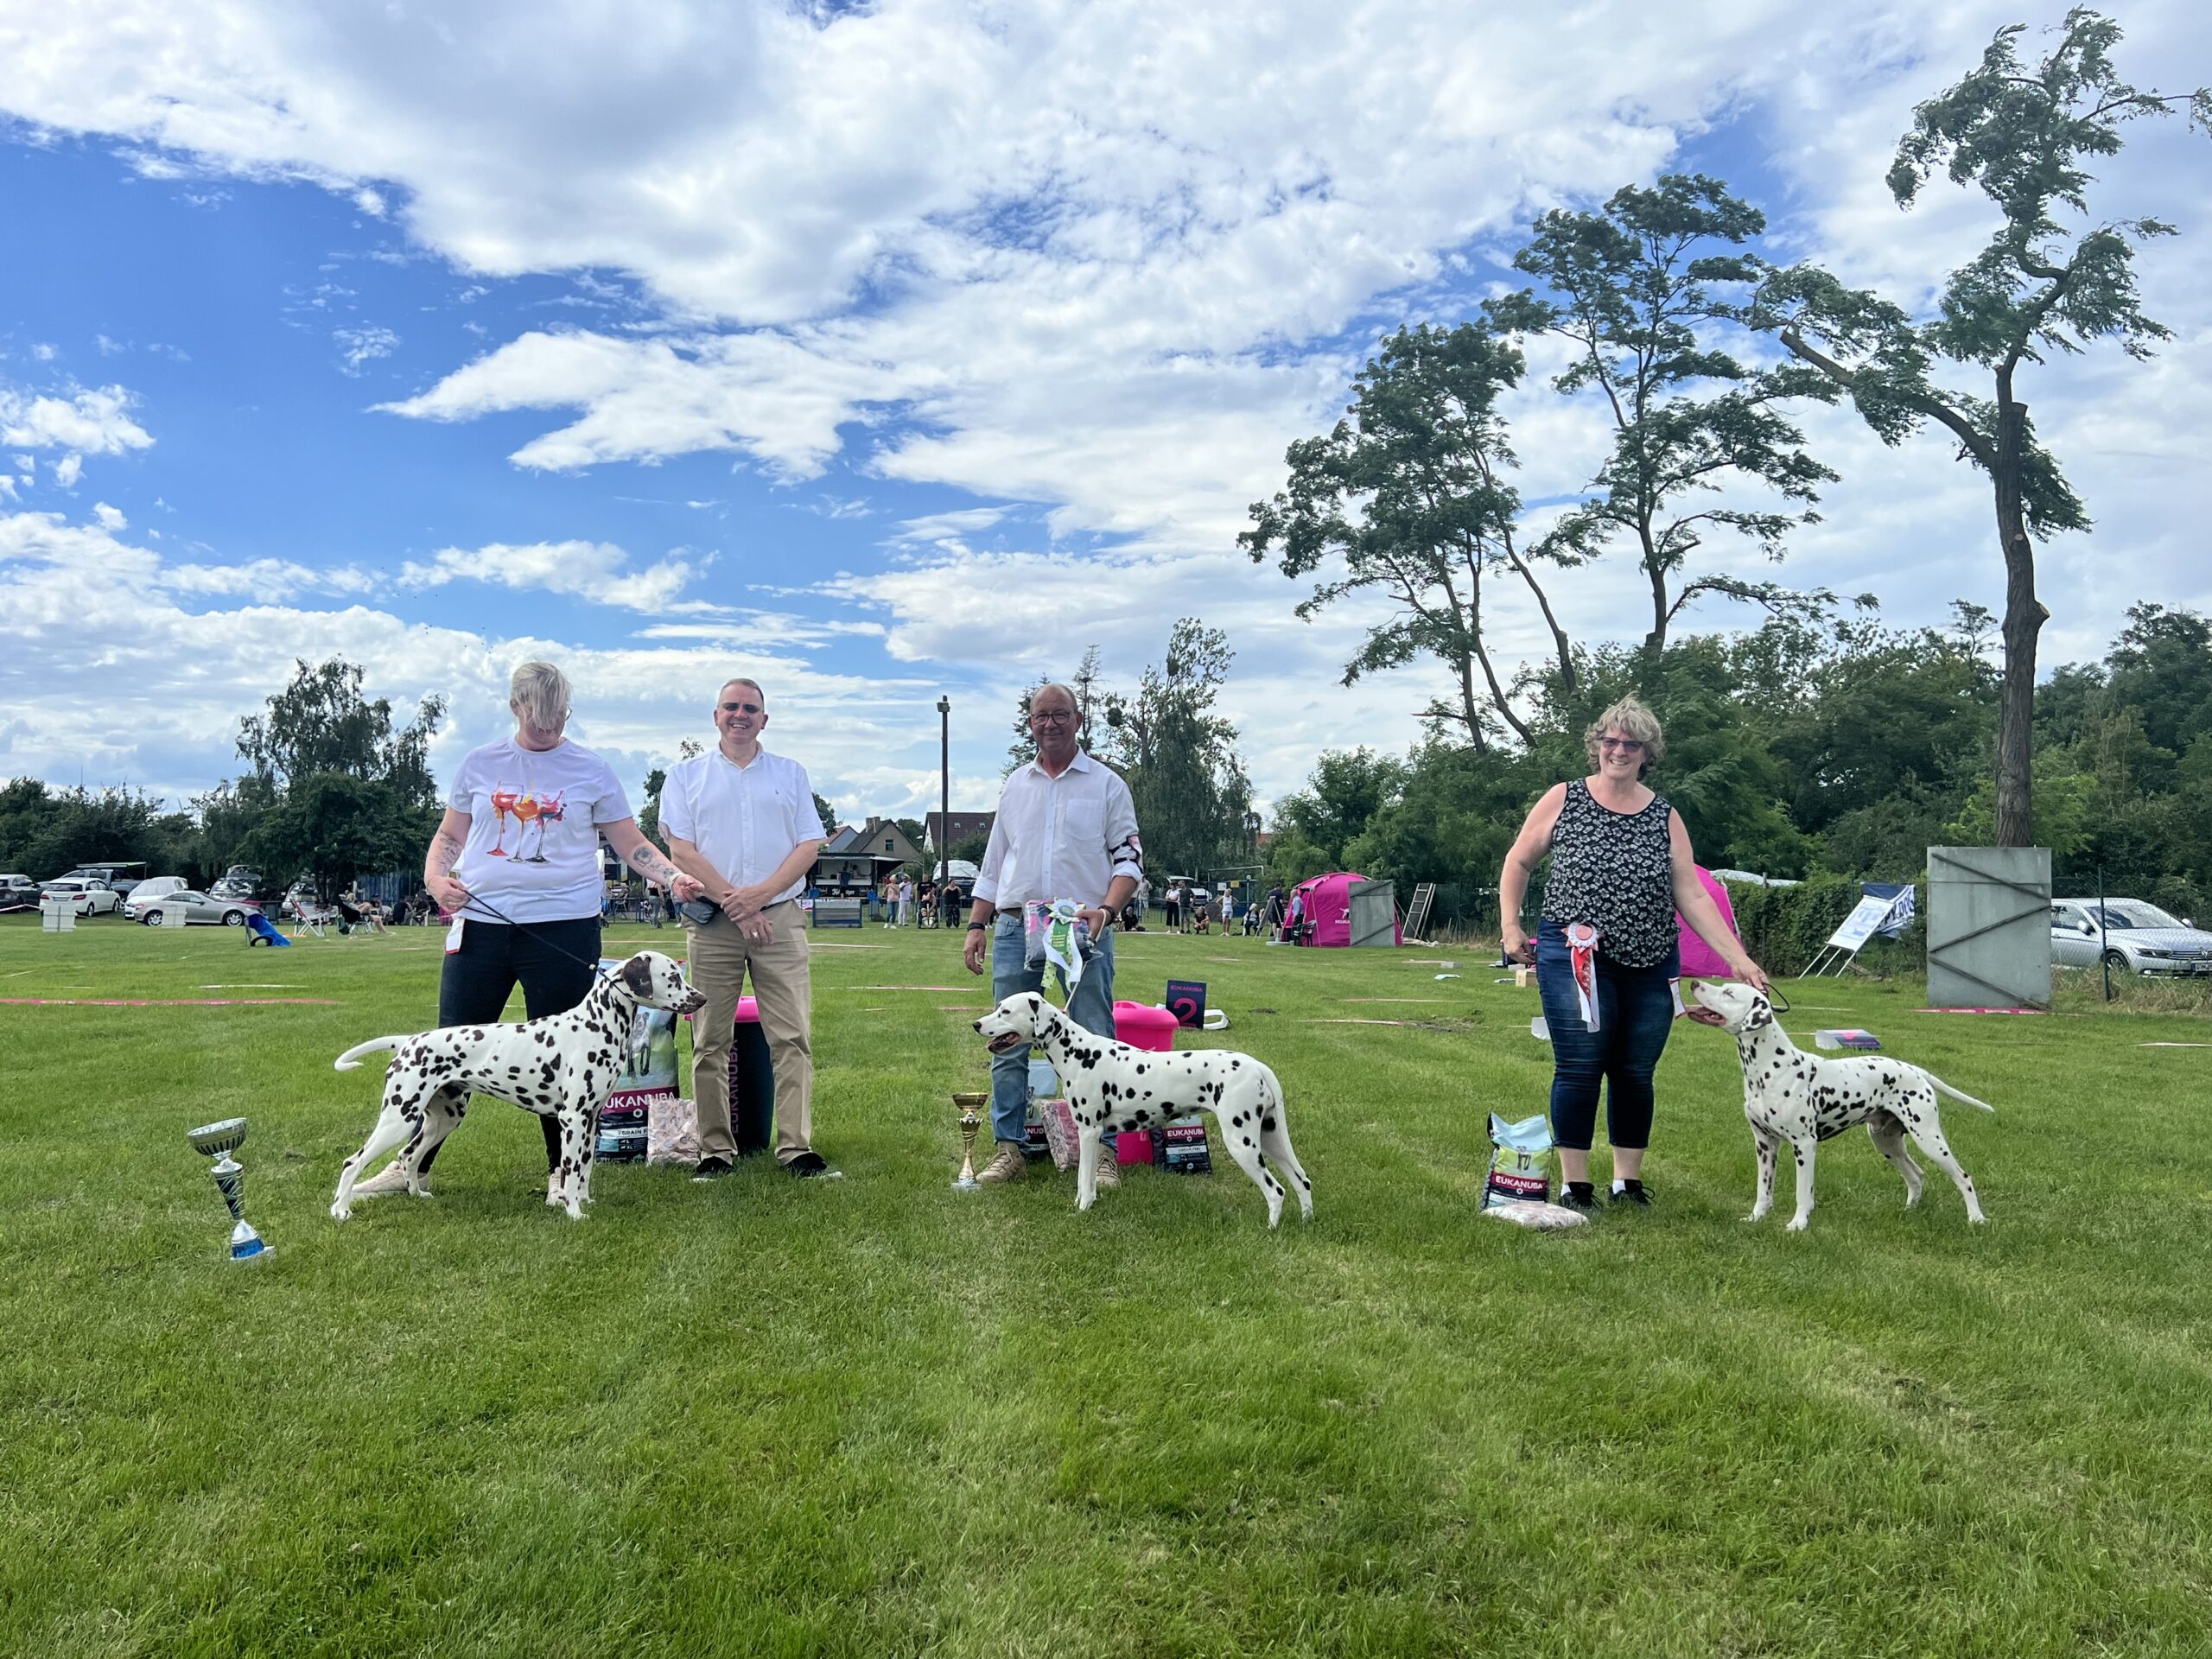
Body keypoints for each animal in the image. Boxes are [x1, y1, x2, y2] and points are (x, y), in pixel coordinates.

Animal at [327, 946, 703, 1221]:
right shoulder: (572, 1118)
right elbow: (570, 1170)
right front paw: (573, 1212)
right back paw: (340, 1210)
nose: (701, 998)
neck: (595, 1024)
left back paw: (419, 1196)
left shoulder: (591, 1119)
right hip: (399, 1117)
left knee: (409, 1156)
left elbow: (585, 1168)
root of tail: (409, 1041)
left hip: (443, 1119)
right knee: (353, 1162)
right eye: (672, 976)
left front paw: (584, 1201)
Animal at [973, 995, 1309, 1230]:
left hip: (1242, 1143)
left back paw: (1270, 1229)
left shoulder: (1088, 1132)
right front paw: (1088, 1202)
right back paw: (1307, 1221)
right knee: (1302, 1181)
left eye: (1005, 1012)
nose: (976, 1024)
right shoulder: (1093, 1135)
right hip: (1271, 1138)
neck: (1078, 1052)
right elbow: (1090, 1181)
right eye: (998, 1007)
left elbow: (1082, 1179)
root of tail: (1258, 1066)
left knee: (1276, 1190)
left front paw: (1081, 1209)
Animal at [1689, 986, 1991, 1238]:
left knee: (1963, 1178)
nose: (1694, 983)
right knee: (1916, 1176)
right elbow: (1763, 1190)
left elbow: (1803, 1193)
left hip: (1929, 1139)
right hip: (1888, 1143)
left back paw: (1976, 1219)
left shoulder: (1804, 1145)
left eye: (1728, 992)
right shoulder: (1765, 1145)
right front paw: (1756, 1218)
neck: (1771, 1068)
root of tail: (1915, 1070)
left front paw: (1798, 1225)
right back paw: (1909, 1211)